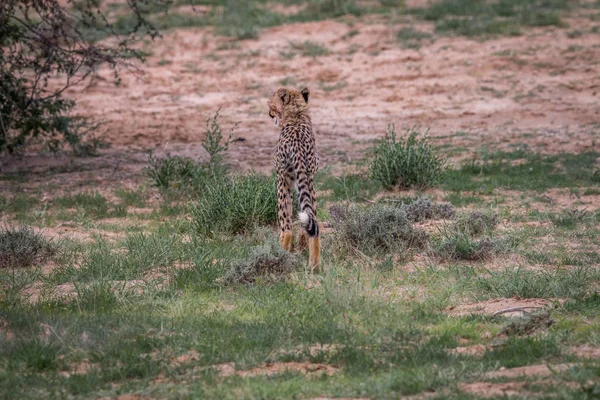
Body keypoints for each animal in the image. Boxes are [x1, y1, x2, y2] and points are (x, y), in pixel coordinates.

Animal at [270, 86, 322, 270]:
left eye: (271, 104)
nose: (270, 113)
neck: (296, 116)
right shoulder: (303, 178)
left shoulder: (283, 178)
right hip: (309, 181)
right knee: (314, 224)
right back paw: (314, 266)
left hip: (282, 183)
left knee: (286, 228)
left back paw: (279, 254)